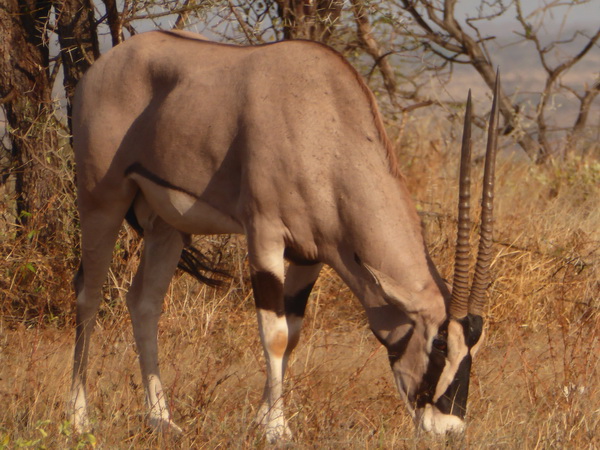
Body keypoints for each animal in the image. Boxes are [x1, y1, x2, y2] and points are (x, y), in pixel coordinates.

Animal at [70, 29, 500, 442]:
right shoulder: (265, 235)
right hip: (101, 202)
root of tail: (102, 67)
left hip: (167, 226)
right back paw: (79, 418)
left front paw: (263, 419)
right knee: (88, 297)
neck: (328, 126)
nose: (450, 430)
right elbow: (274, 334)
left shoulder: (309, 255)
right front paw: (277, 429)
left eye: (474, 347)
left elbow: (292, 333)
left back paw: (161, 420)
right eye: (440, 344)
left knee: (144, 303)